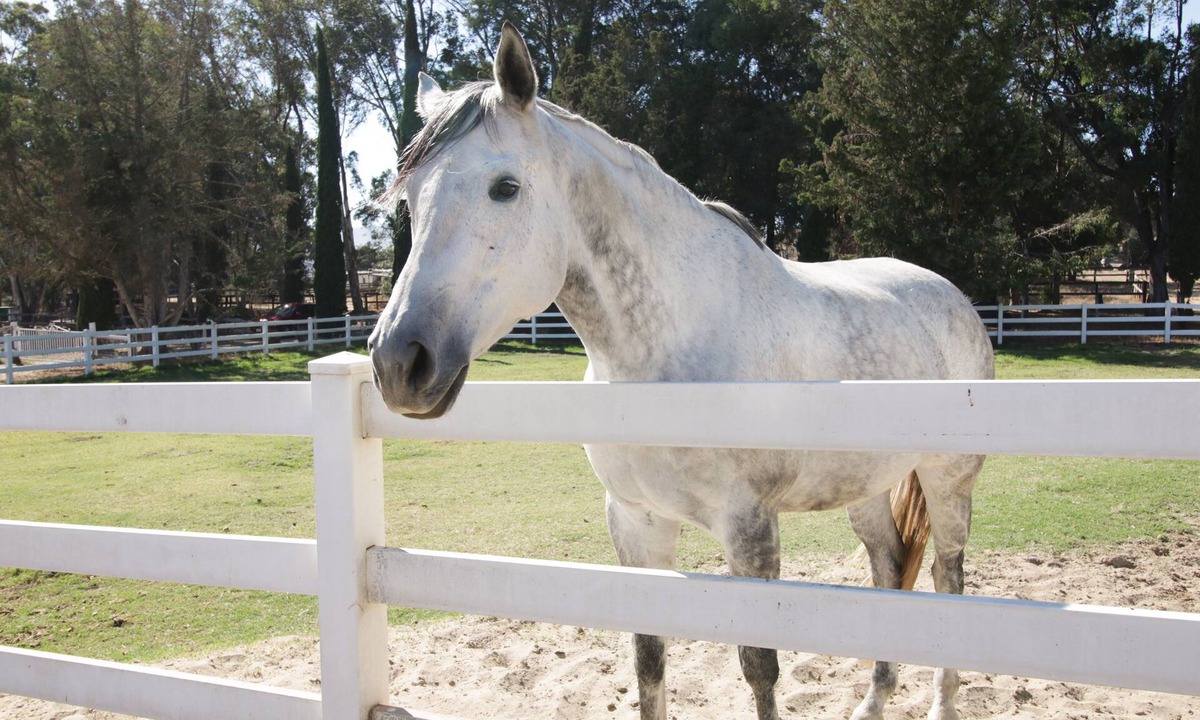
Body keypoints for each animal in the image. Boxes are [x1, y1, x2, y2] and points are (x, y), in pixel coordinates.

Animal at [368, 22, 994, 720]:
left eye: (505, 186)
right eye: (411, 194)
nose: (399, 361)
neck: (661, 359)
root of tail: (952, 297)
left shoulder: (749, 529)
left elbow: (760, 668)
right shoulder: (636, 522)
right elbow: (648, 658)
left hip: (948, 482)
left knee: (947, 577)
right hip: (866, 485)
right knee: (889, 567)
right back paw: (873, 701)